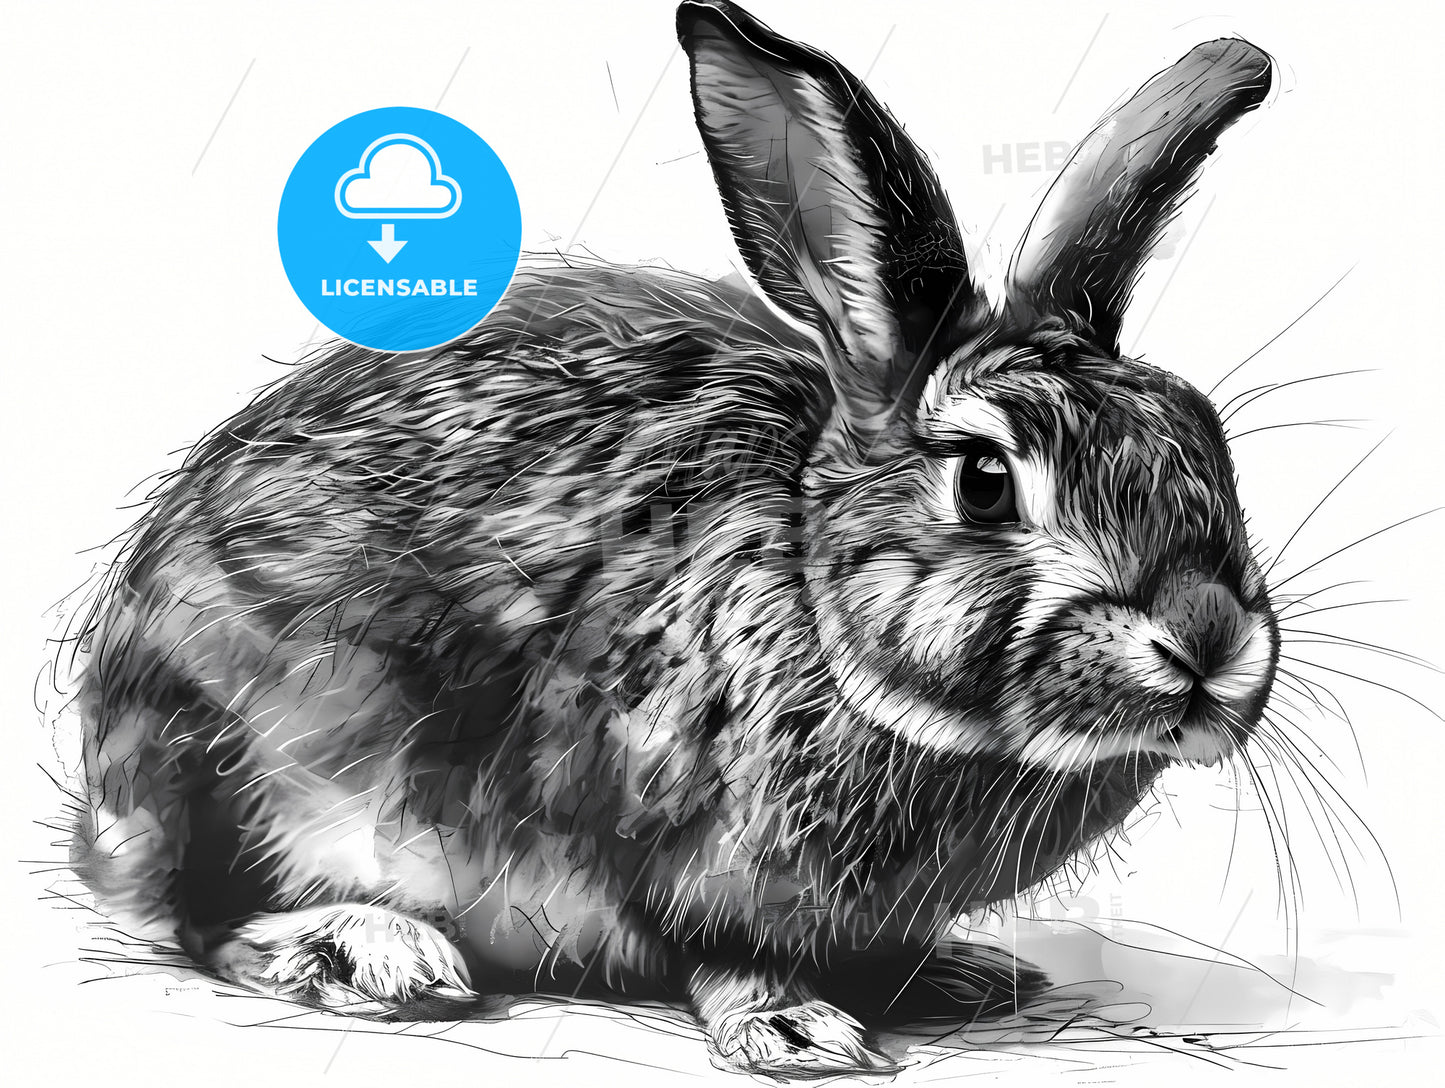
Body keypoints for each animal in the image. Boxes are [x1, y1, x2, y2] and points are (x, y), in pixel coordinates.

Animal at [65, 0, 1281, 1077]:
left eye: (1203, 437)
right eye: (984, 482)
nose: (1209, 640)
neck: (815, 604)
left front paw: (948, 973)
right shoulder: (665, 845)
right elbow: (722, 954)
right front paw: (792, 1031)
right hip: (250, 762)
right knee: (204, 920)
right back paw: (368, 950)